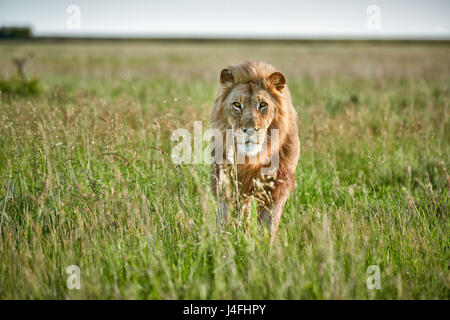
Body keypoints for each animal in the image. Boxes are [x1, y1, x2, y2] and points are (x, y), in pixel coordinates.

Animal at [210, 60, 298, 242]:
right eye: (237, 104)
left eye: (263, 104)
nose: (250, 130)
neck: (253, 158)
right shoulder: (226, 179)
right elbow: (227, 214)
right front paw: (226, 240)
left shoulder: (277, 184)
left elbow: (269, 223)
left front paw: (264, 245)